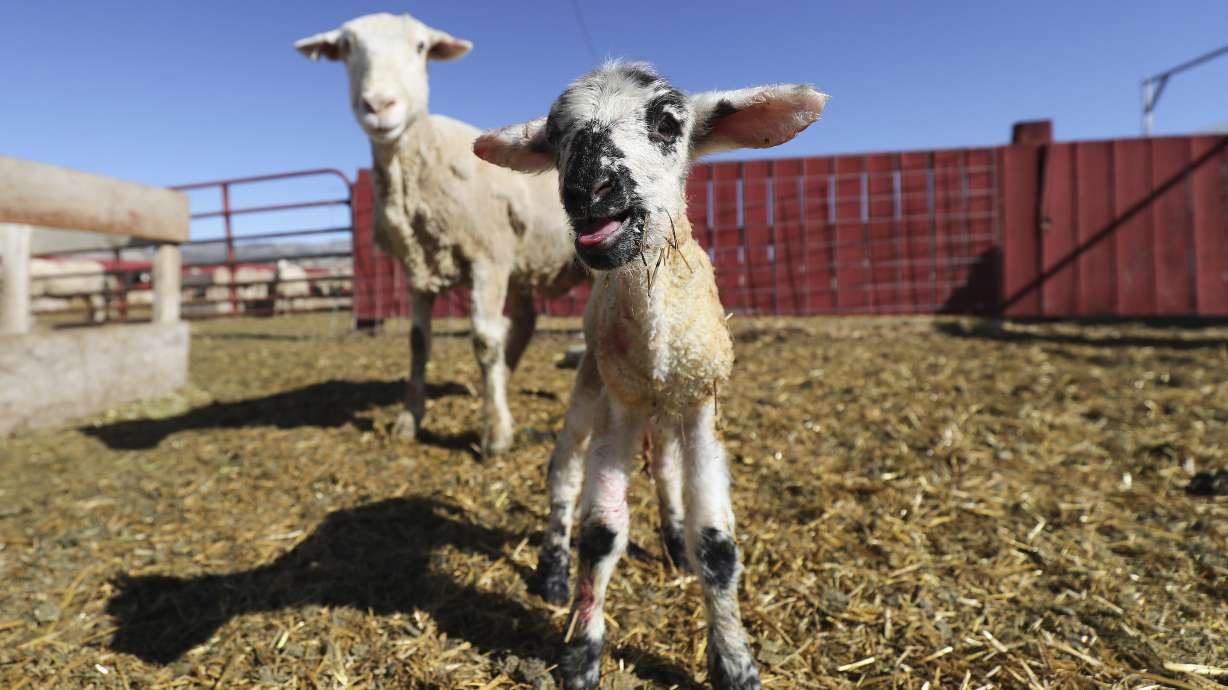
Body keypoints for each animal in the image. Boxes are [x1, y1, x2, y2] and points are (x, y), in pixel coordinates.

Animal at [295, 13, 581, 455]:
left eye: (421, 47)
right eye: (345, 48)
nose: (379, 106)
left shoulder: (487, 258)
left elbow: (484, 341)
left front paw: (495, 434)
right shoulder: (419, 269)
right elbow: (418, 342)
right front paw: (409, 420)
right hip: (519, 259)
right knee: (525, 322)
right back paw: (502, 383)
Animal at [475, 62, 828, 690]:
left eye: (667, 122)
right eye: (556, 135)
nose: (587, 188)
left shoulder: (702, 403)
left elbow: (717, 544)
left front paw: (735, 661)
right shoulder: (621, 402)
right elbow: (600, 535)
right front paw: (581, 656)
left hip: (668, 409)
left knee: (664, 468)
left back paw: (673, 543)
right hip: (592, 380)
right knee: (564, 472)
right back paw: (552, 573)